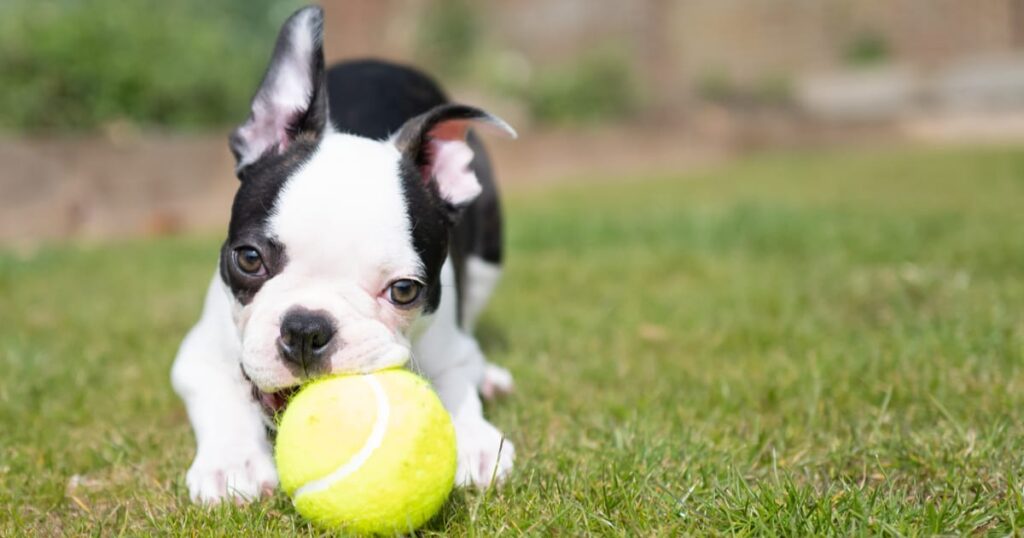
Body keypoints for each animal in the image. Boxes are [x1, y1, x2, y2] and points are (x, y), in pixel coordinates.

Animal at [173, 6, 520, 504]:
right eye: (249, 260)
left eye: (403, 291)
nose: (305, 328)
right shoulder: (197, 356)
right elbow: (222, 398)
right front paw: (233, 462)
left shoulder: (453, 347)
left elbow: (458, 381)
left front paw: (472, 438)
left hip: (488, 253)